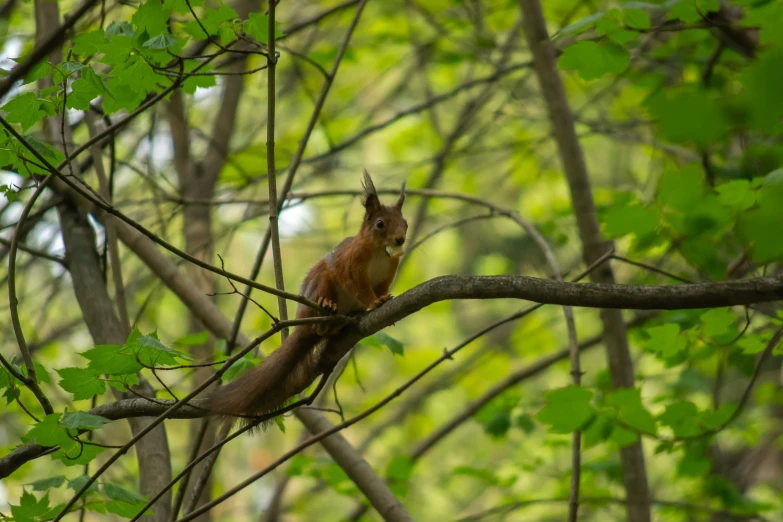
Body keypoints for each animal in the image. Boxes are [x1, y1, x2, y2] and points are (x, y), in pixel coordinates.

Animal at [211, 171, 408, 426]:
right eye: (380, 224)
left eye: (406, 223)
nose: (400, 239)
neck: (379, 252)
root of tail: (303, 322)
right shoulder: (351, 265)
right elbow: (359, 288)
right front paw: (374, 303)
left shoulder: (388, 272)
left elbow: (382, 288)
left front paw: (385, 298)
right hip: (321, 282)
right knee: (320, 324)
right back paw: (327, 311)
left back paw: (347, 319)